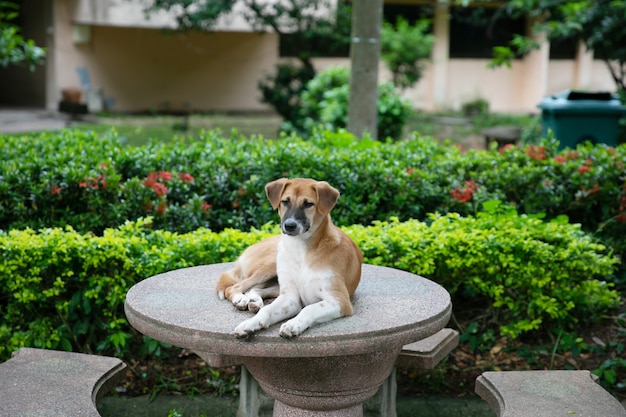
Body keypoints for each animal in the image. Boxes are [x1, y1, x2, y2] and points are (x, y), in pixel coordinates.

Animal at [214, 176, 360, 338]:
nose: (289, 226)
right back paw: (241, 299)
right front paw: (250, 323)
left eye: (308, 204)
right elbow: (268, 310)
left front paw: (293, 324)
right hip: (270, 266)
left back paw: (254, 301)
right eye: (285, 201)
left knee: (255, 289)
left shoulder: (339, 300)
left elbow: (308, 308)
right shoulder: (290, 297)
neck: (301, 250)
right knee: (235, 287)